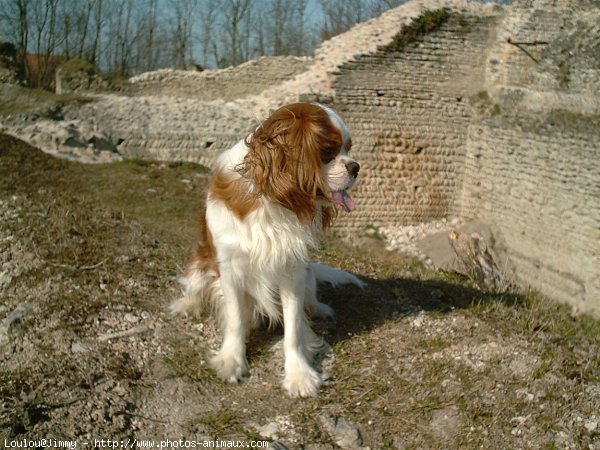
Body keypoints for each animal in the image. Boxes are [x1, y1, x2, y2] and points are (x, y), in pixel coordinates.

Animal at [171, 103, 364, 398]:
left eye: (349, 148)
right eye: (328, 150)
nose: (355, 167)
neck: (272, 201)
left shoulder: (293, 271)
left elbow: (293, 329)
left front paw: (299, 374)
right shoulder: (229, 269)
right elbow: (236, 319)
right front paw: (232, 360)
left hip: (308, 274)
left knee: (309, 299)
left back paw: (317, 308)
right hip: (201, 265)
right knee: (195, 285)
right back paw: (189, 304)